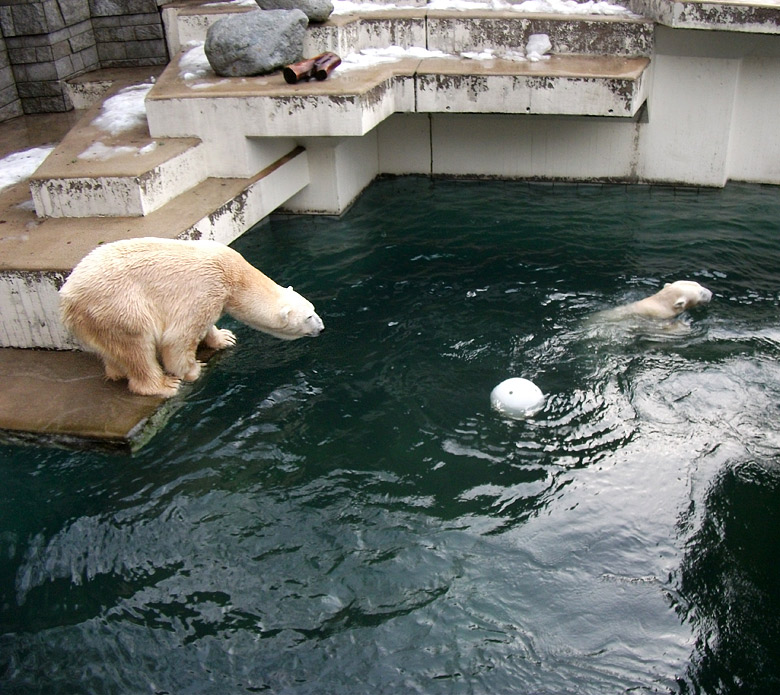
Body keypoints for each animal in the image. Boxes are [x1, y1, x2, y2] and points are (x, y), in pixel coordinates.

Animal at [59, 238, 324, 396]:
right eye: (309, 317)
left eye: (313, 310)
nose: (321, 327)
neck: (235, 276)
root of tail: (67, 298)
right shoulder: (205, 289)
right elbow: (179, 337)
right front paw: (193, 370)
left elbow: (207, 325)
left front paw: (225, 338)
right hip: (119, 307)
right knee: (137, 346)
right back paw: (163, 385)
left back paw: (116, 371)